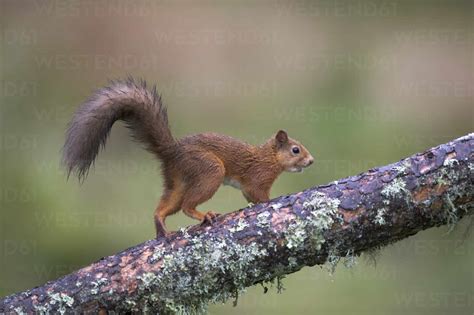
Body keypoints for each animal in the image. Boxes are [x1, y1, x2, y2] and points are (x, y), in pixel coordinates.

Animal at [63, 78, 314, 237]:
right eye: (295, 150)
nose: (311, 161)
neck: (268, 157)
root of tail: (172, 151)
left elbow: (249, 197)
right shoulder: (257, 178)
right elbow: (258, 196)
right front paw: (271, 202)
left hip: (178, 181)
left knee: (165, 207)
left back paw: (162, 229)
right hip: (210, 171)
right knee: (186, 206)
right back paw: (205, 215)